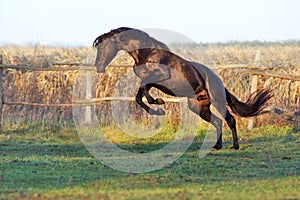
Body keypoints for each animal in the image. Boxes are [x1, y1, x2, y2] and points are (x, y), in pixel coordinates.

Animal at [92, 27, 274, 151]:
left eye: (103, 47)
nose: (98, 66)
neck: (148, 52)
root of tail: (219, 81)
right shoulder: (150, 81)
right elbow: (139, 96)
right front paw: (157, 107)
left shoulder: (159, 75)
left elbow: (143, 92)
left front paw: (158, 102)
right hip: (198, 106)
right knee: (217, 121)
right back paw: (217, 146)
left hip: (217, 101)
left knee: (230, 119)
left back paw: (234, 146)